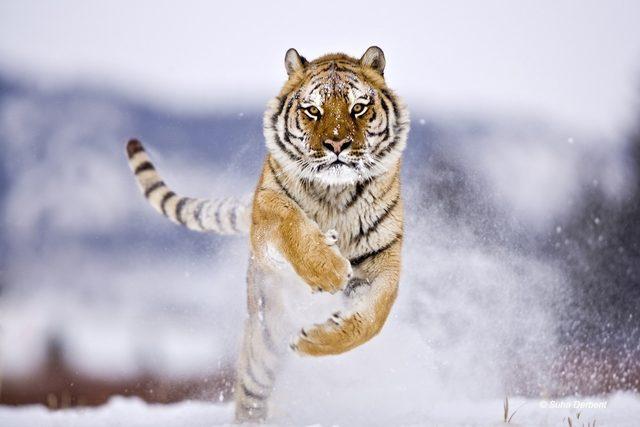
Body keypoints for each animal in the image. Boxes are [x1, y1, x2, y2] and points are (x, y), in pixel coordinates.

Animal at [125, 46, 410, 422]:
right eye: (312, 110)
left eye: (358, 107)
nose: (337, 144)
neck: (335, 194)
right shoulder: (266, 210)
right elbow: (290, 220)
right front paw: (330, 269)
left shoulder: (383, 257)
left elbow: (373, 318)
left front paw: (313, 340)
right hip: (265, 336)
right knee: (251, 391)